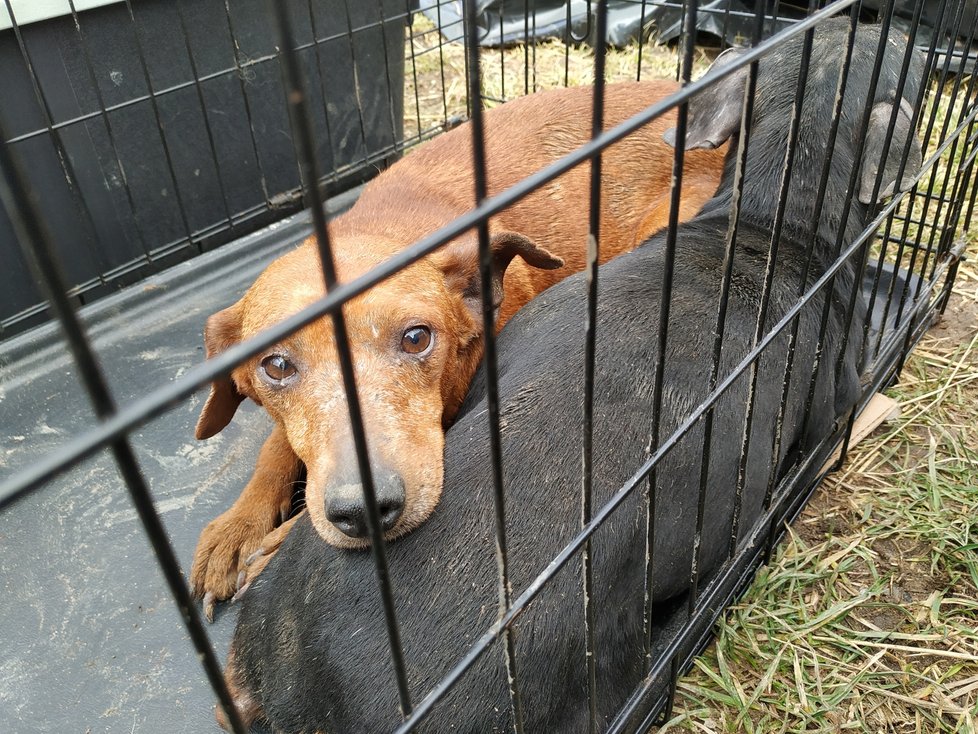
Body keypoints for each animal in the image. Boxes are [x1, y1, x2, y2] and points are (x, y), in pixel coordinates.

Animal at [191, 80, 724, 616]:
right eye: (277, 365)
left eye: (417, 337)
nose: (364, 511)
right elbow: (276, 445)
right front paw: (239, 524)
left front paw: (278, 542)